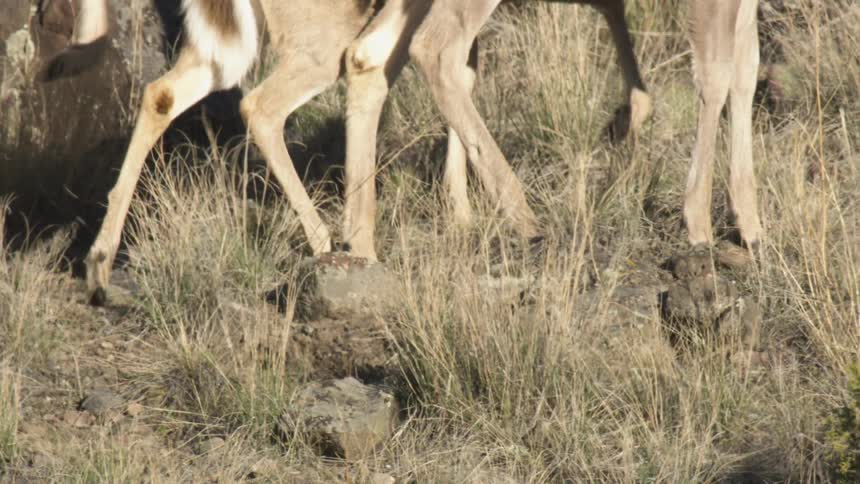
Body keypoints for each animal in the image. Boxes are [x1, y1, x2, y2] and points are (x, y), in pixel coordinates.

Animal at [43, 0, 651, 305]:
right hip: (318, 47)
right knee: (278, 98)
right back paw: (332, 244)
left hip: (230, 49)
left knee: (163, 93)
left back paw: (99, 266)